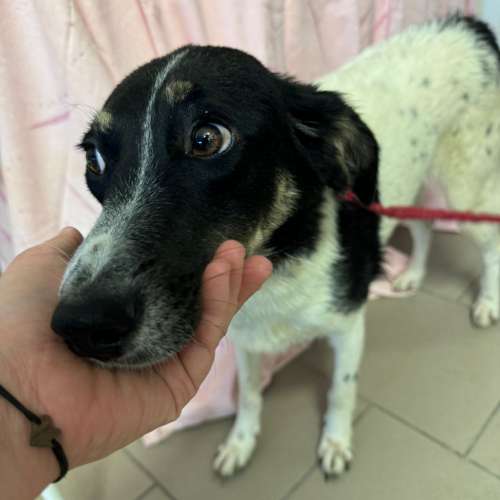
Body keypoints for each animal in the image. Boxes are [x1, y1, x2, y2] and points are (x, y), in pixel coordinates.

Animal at [52, 14, 500, 477]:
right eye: (94, 159)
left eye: (207, 139)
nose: (82, 325)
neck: (279, 268)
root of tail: (466, 24)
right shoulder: (247, 339)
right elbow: (249, 394)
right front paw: (240, 443)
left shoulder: (348, 324)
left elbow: (341, 389)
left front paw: (335, 442)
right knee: (425, 223)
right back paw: (412, 275)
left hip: (465, 187)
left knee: (489, 243)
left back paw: (487, 303)